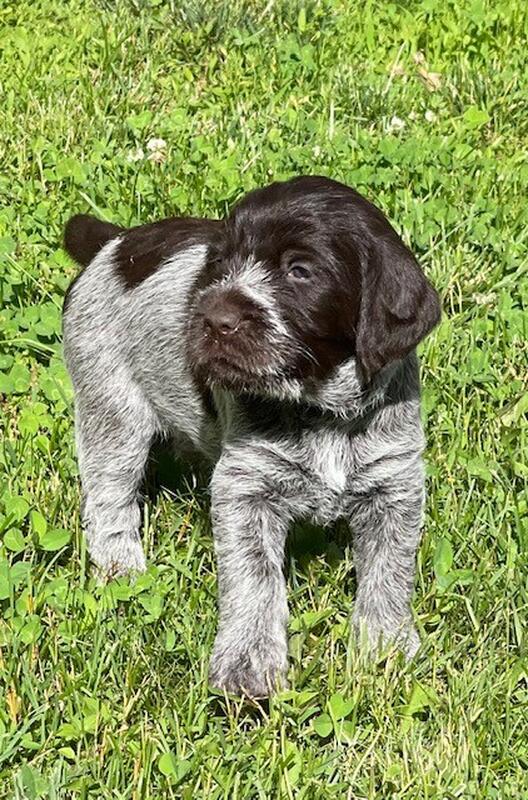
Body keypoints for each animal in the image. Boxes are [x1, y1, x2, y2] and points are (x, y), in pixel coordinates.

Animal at [62, 176, 440, 697]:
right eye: (219, 263)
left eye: (299, 271)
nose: (212, 319)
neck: (322, 408)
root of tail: (115, 243)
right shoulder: (246, 489)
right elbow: (255, 577)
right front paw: (248, 664)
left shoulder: (395, 483)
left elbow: (390, 569)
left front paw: (384, 646)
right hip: (112, 409)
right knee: (109, 501)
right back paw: (123, 570)